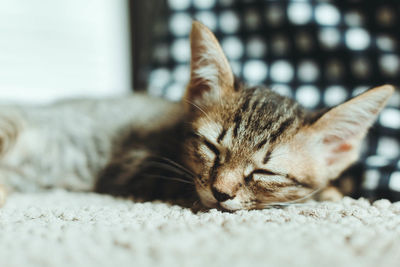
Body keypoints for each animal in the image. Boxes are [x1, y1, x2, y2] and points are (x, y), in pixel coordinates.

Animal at [0, 22, 394, 211]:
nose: (221, 193)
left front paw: (331, 190)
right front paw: (325, 194)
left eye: (266, 172)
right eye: (211, 147)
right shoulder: (134, 165)